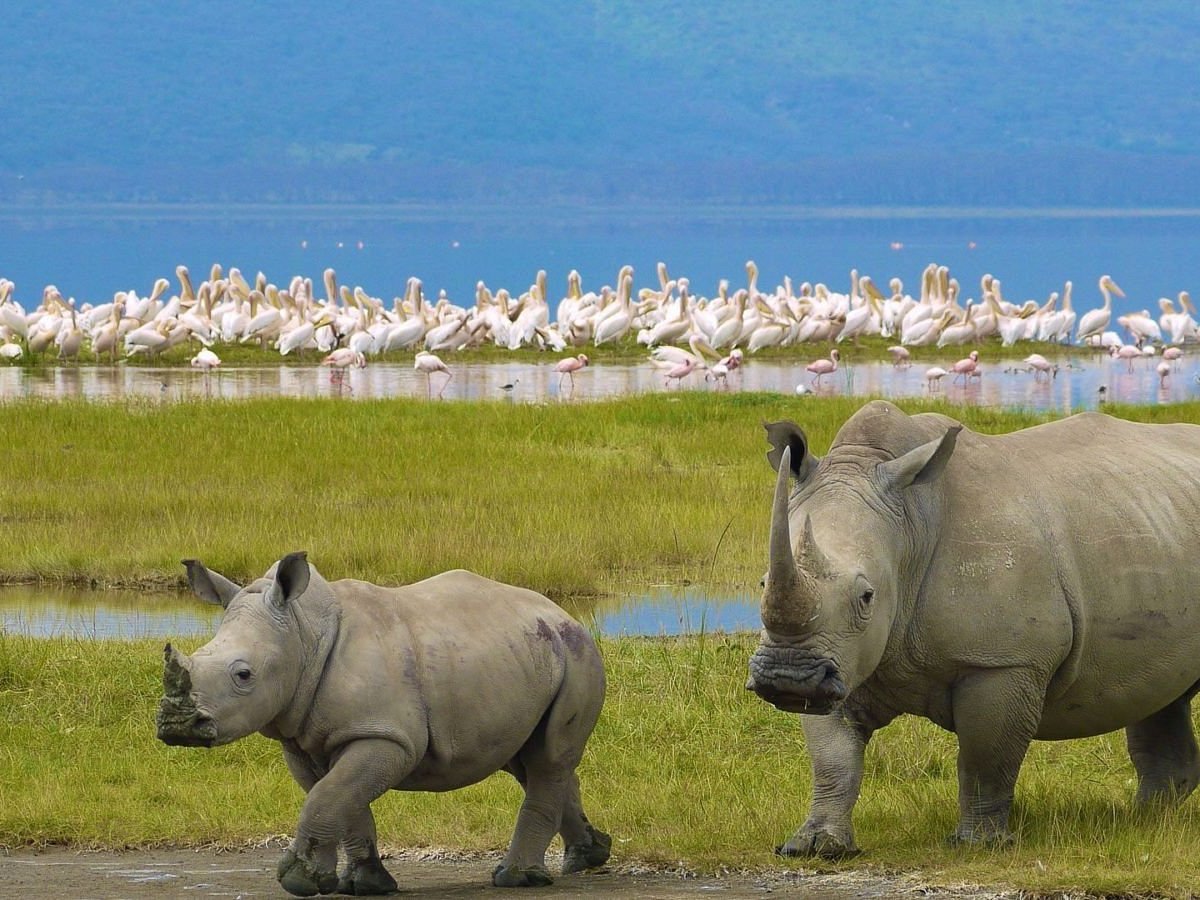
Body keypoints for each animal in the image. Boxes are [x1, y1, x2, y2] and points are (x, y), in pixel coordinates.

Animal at [156, 552, 611, 896]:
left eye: (244, 675)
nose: (176, 726)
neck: (303, 635)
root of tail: (561, 612)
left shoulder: (386, 736)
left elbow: (328, 796)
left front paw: (299, 881)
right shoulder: (306, 741)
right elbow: (341, 798)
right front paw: (363, 885)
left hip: (577, 655)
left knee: (548, 759)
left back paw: (516, 878)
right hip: (527, 655)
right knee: (530, 761)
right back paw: (588, 856)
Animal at [746, 400, 1200, 857]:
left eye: (867, 596)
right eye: (763, 583)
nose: (788, 677)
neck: (910, 524)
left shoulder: (1002, 662)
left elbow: (986, 759)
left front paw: (978, 844)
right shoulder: (843, 657)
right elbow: (832, 758)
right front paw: (814, 846)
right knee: (1162, 696)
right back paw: (1145, 819)